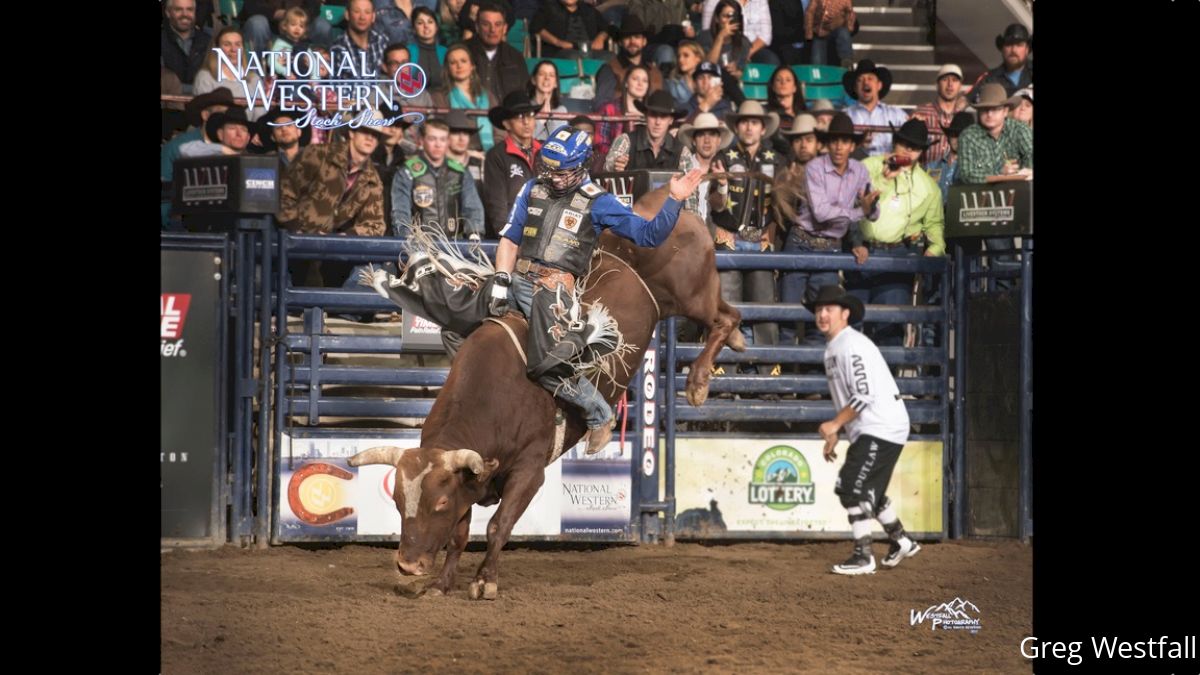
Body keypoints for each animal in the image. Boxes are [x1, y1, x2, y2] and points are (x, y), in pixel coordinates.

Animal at [345, 182, 739, 593]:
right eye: (398, 501)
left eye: (438, 504)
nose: (408, 565)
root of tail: (655, 201)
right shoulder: (468, 479)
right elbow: (459, 533)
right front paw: (442, 583)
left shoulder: (530, 471)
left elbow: (499, 525)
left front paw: (485, 581)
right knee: (728, 317)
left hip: (692, 294)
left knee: (726, 316)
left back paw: (697, 382)